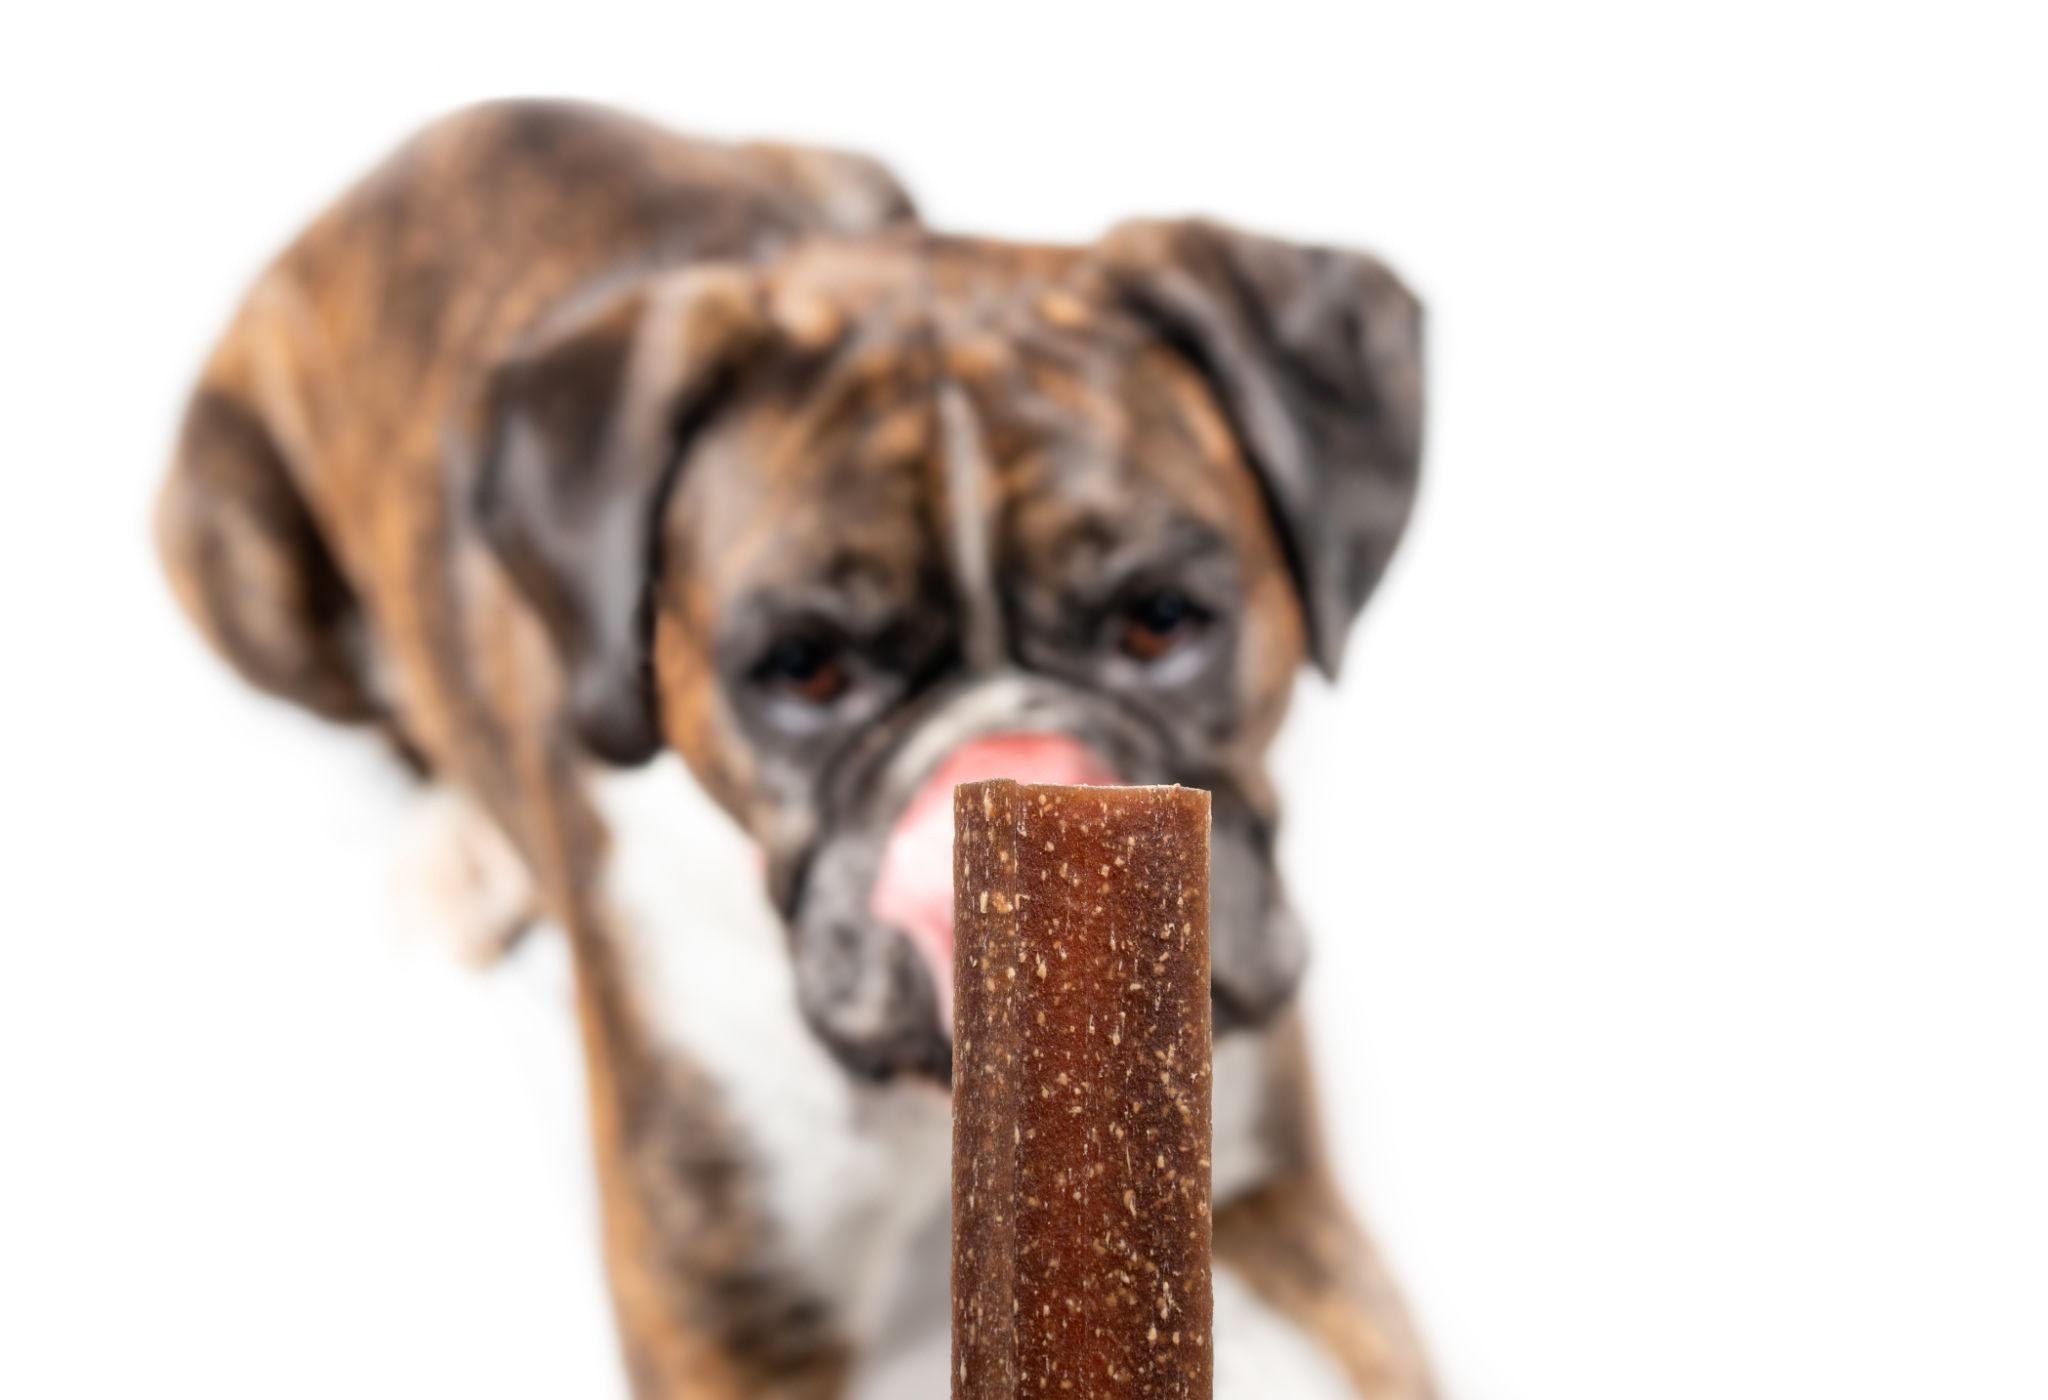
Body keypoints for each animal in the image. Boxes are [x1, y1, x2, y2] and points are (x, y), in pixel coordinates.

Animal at [156, 100, 1433, 1398]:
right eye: (803, 665)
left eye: (1161, 618)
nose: (1018, 748)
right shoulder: (727, 1320)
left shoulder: (1265, 1195)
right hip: (235, 550)